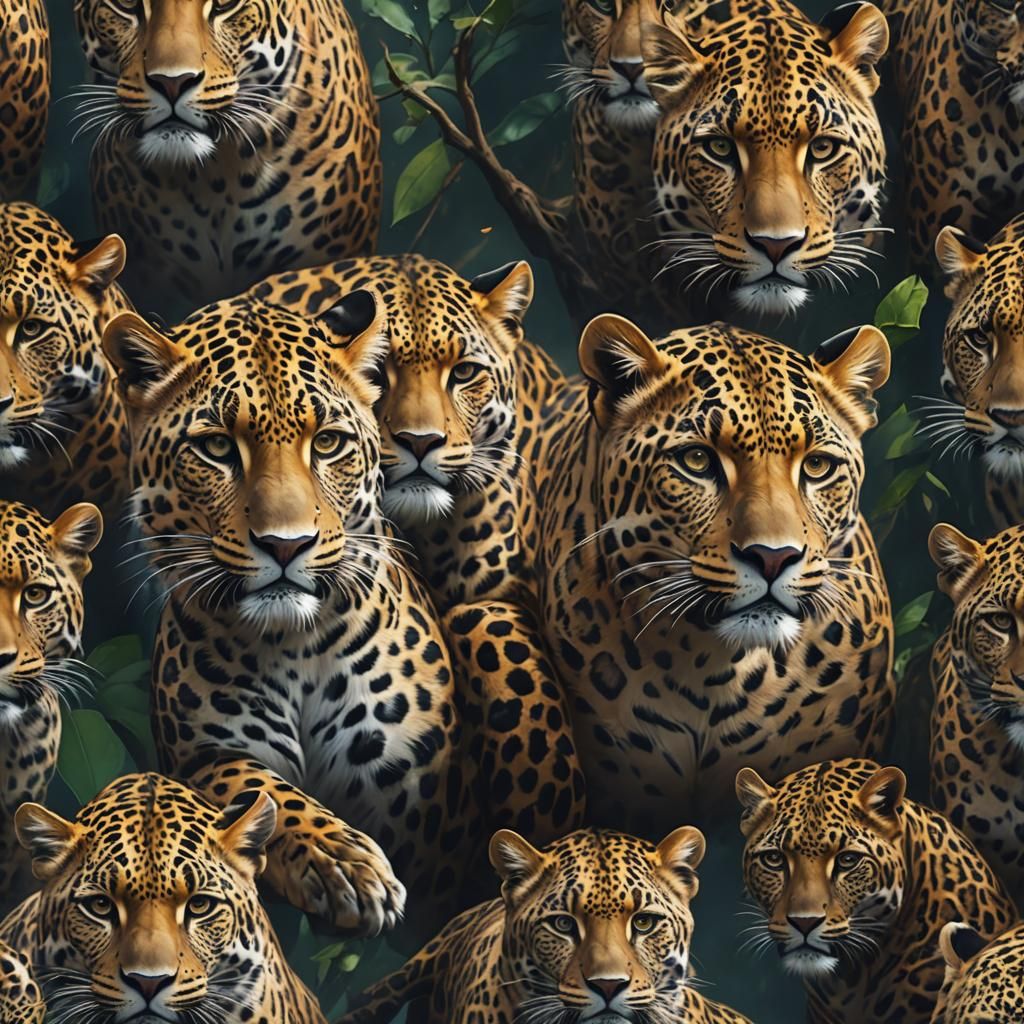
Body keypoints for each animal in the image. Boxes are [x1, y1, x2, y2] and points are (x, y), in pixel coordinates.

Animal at [101, 290, 583, 936]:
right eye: (217, 447)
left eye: (327, 444)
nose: (285, 546)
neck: (293, 646)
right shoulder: (200, 757)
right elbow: (258, 793)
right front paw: (344, 865)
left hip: (486, 619)